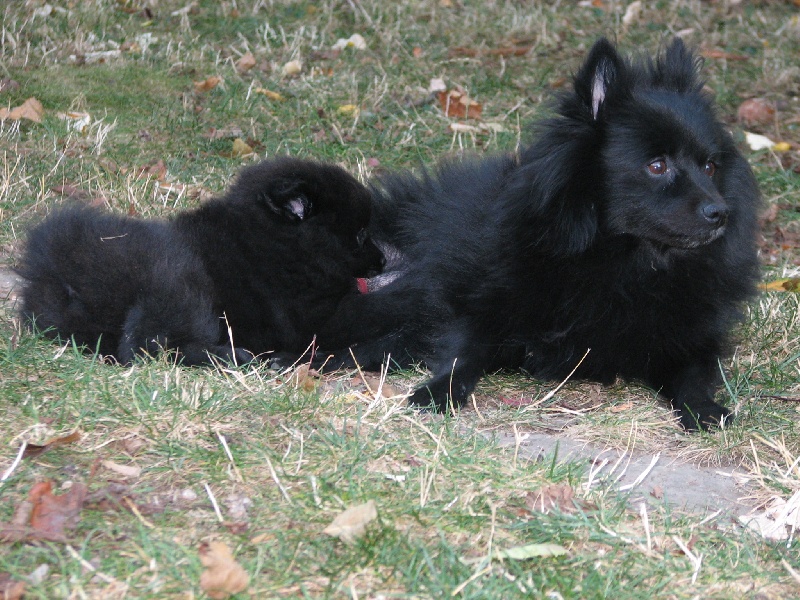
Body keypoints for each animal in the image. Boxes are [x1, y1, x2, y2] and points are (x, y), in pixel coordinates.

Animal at [17, 158, 382, 366]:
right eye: (360, 234)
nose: (382, 260)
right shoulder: (313, 316)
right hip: (178, 280)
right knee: (146, 345)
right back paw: (236, 356)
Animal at [308, 37, 764, 428]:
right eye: (656, 165)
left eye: (710, 167)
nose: (720, 212)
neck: (620, 262)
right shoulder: (480, 308)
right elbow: (463, 353)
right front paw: (437, 392)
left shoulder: (689, 339)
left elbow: (692, 376)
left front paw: (704, 409)